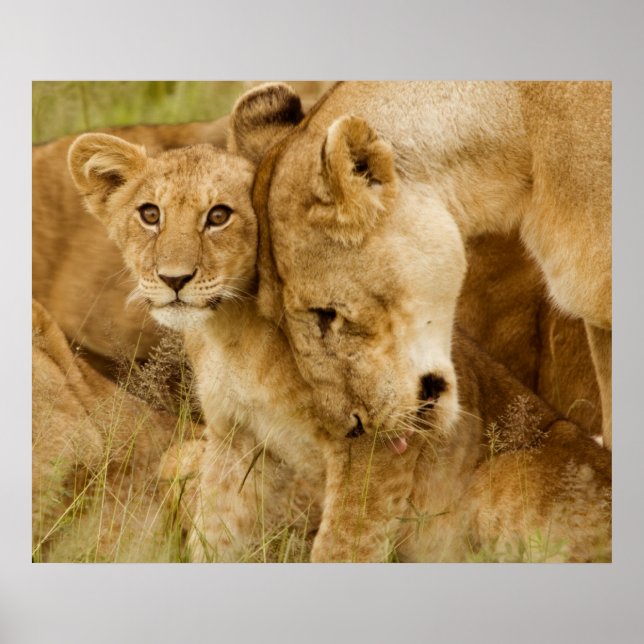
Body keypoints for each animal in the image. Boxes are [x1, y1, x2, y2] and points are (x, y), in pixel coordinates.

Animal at [67, 132, 610, 562]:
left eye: (219, 216)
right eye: (149, 214)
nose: (173, 279)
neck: (232, 333)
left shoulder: (376, 438)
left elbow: (341, 545)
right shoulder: (234, 438)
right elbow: (216, 532)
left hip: (510, 472)